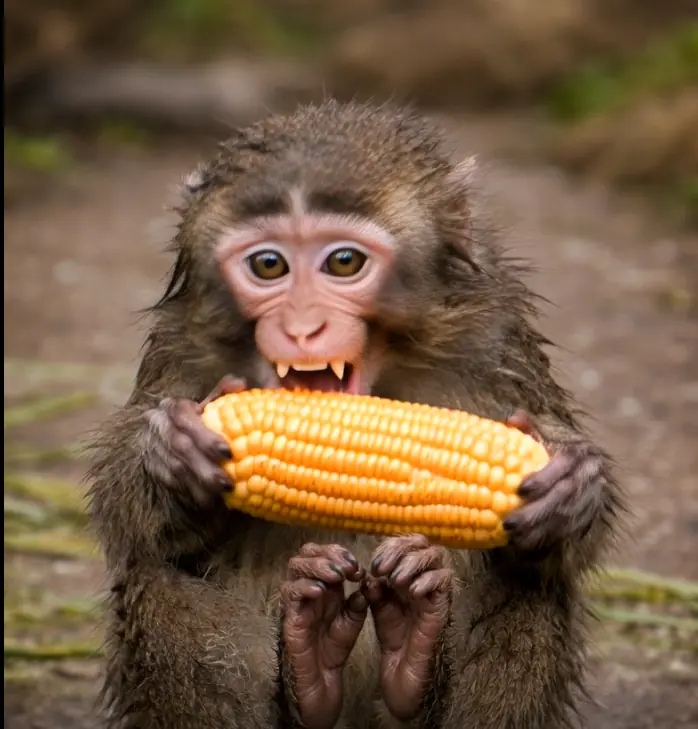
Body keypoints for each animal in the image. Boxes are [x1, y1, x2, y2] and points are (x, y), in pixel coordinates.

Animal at [86, 100, 624, 729]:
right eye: (269, 266)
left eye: (343, 262)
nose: (302, 328)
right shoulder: (180, 343)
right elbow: (136, 520)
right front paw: (171, 454)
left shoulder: (498, 334)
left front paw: (571, 488)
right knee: (161, 575)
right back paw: (315, 662)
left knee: (529, 584)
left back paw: (407, 649)